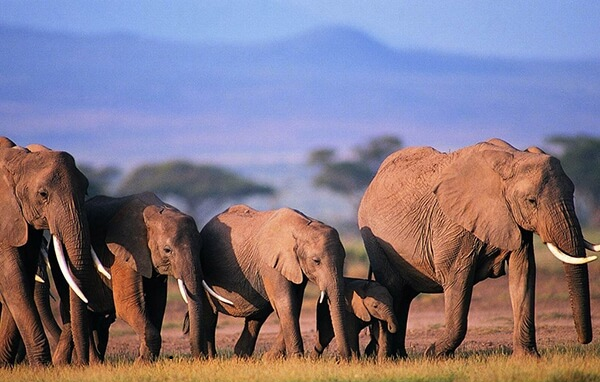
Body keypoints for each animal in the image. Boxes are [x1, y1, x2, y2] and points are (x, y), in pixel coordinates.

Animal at [0, 137, 95, 364]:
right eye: (43, 194)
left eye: (86, 191)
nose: (83, 364)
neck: (17, 159)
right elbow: (12, 278)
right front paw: (41, 366)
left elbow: (22, 277)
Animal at [199, 204, 354, 360]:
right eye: (316, 261)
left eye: (344, 259)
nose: (344, 359)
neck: (302, 227)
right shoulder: (270, 264)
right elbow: (285, 302)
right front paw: (296, 359)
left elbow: (295, 302)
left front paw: (270, 358)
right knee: (210, 316)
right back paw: (211, 358)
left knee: (257, 318)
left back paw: (240, 358)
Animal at [358, 140, 596, 358]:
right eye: (531, 201)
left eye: (573, 193)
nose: (584, 341)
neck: (512, 158)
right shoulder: (454, 224)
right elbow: (457, 278)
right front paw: (434, 355)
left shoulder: (514, 222)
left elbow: (523, 274)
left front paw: (528, 358)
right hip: (374, 239)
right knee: (394, 288)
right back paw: (388, 357)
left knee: (405, 296)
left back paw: (399, 356)